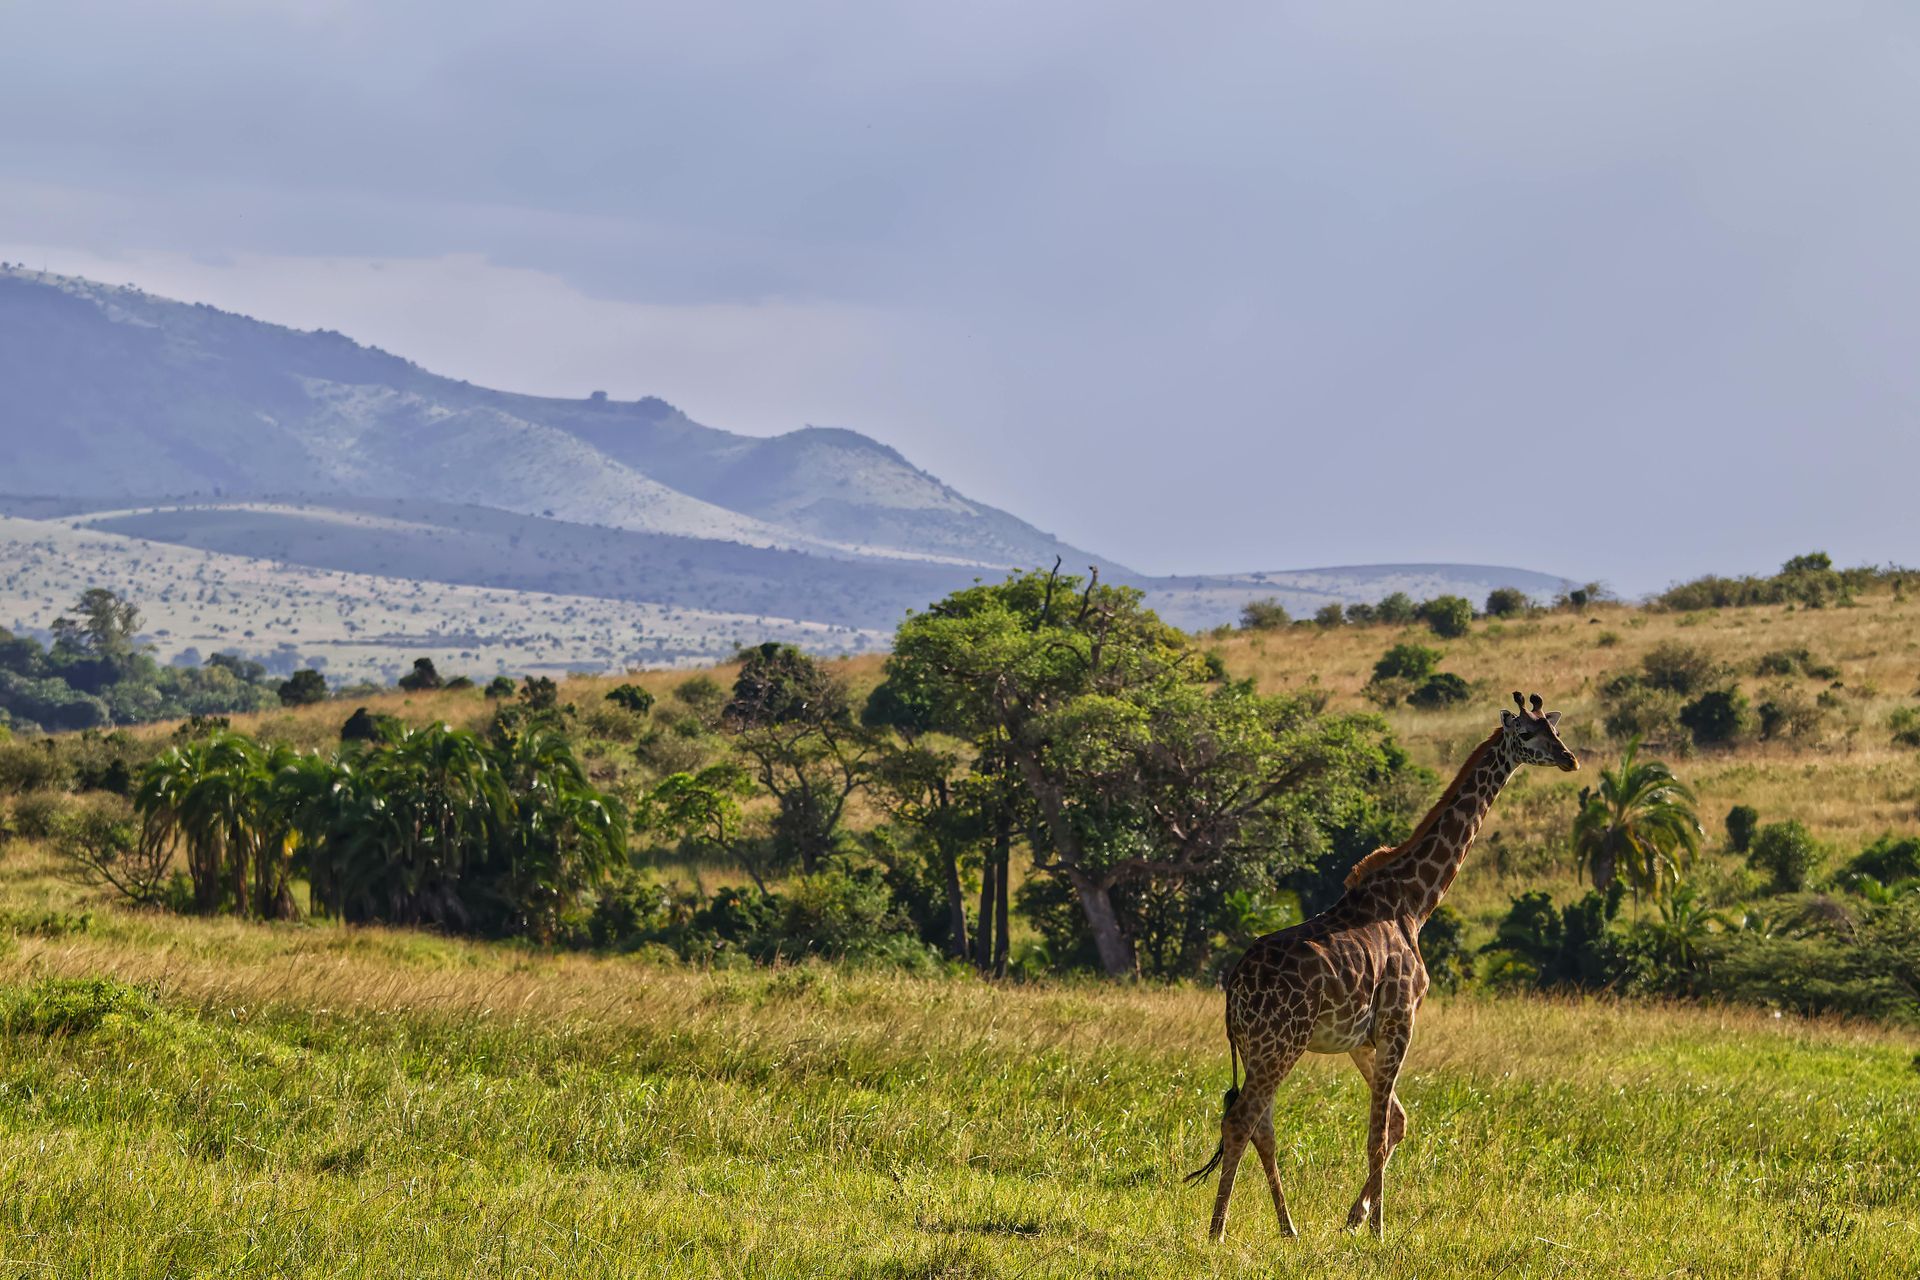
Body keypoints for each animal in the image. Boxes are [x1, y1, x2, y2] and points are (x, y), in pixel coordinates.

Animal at [1182, 690, 1574, 1243]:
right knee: (1242, 1120)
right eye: (1526, 734)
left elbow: (1398, 1123)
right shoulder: (1400, 1021)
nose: (1569, 759)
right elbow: (1378, 1132)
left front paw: (1355, 1217)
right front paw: (1378, 1230)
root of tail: (1233, 988)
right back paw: (1217, 1231)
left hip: (1262, 1048)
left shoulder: (1362, 1039)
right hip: (1280, 1043)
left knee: (1261, 1125)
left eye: (1556, 730)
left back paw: (1288, 1227)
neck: (1414, 901)